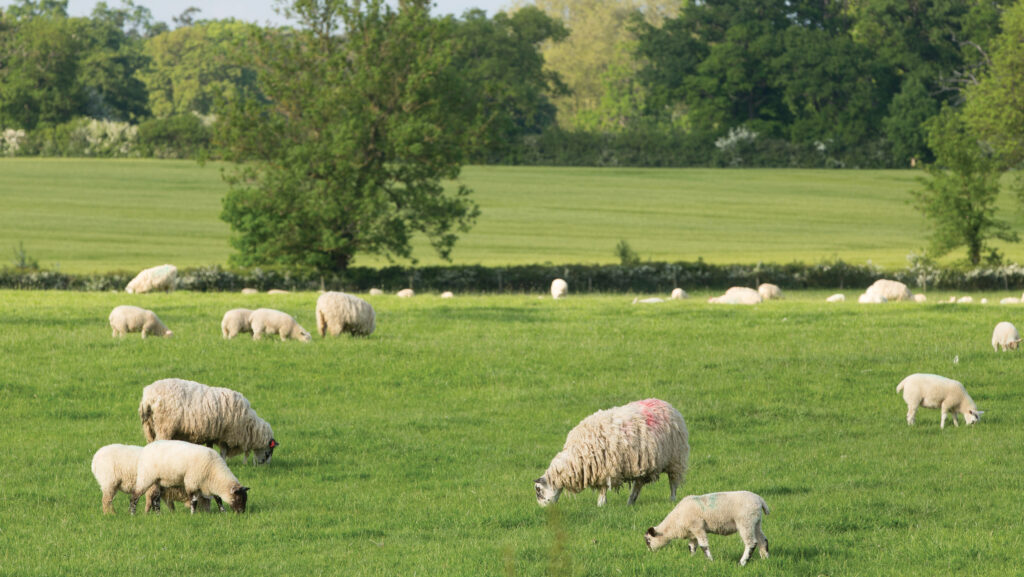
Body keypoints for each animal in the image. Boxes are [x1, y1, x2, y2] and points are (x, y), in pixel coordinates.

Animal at [139, 378, 277, 465]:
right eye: (269, 452)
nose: (264, 466)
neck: (249, 426)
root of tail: (148, 397)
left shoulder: (213, 434)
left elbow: (211, 448)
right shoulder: (226, 434)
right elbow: (223, 451)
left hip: (149, 428)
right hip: (165, 426)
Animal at [534, 398, 688, 508]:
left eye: (538, 491)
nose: (543, 510)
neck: (575, 458)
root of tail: (667, 405)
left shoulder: (605, 469)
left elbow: (603, 490)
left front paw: (601, 505)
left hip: (676, 458)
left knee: (673, 483)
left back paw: (672, 500)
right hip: (645, 464)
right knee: (638, 485)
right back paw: (630, 503)